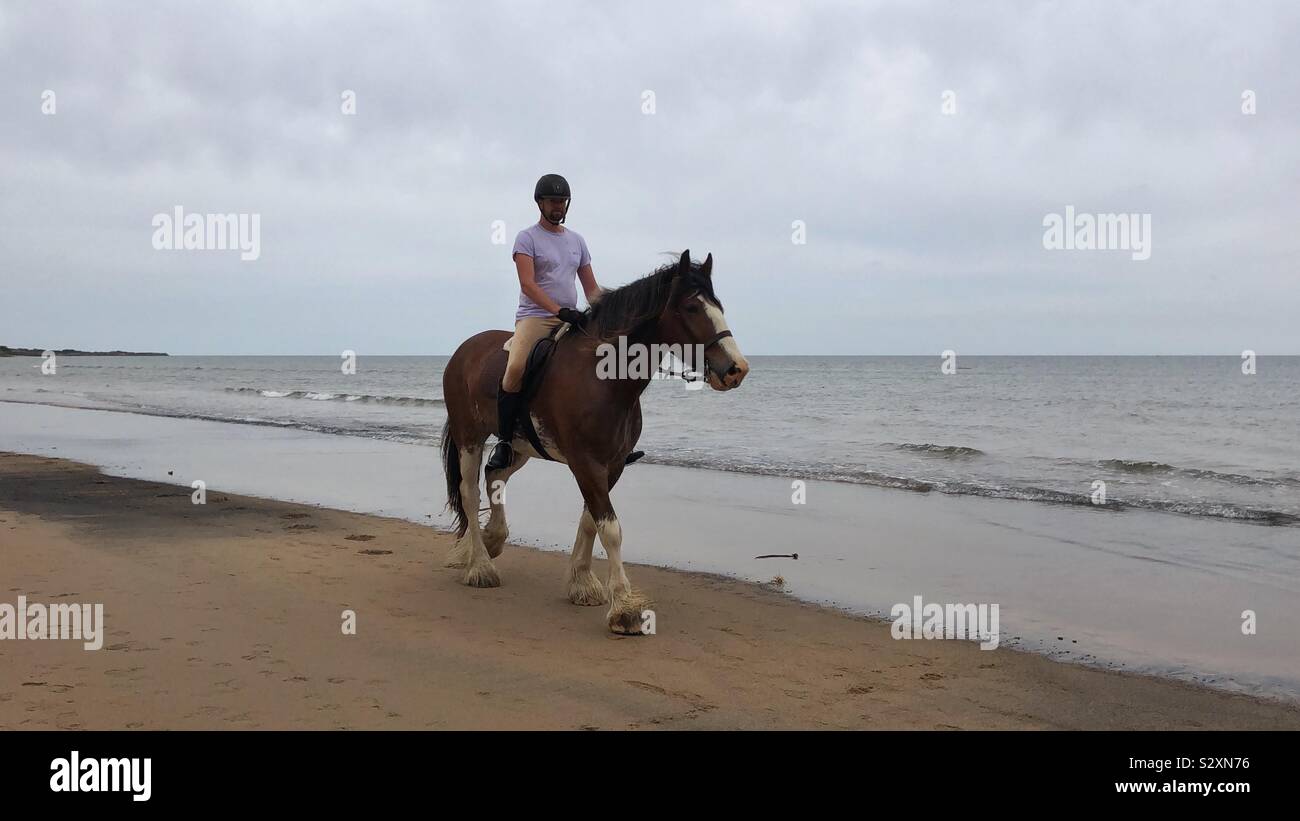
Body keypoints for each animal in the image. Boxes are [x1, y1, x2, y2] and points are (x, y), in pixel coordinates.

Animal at [436, 250, 748, 633]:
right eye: (692, 308)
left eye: (718, 306)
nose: (736, 369)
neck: (605, 380)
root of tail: (465, 349)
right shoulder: (585, 463)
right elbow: (610, 528)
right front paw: (625, 609)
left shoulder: (611, 465)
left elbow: (590, 519)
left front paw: (583, 584)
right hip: (470, 437)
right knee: (469, 491)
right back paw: (480, 565)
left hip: (520, 446)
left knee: (495, 476)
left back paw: (493, 538)